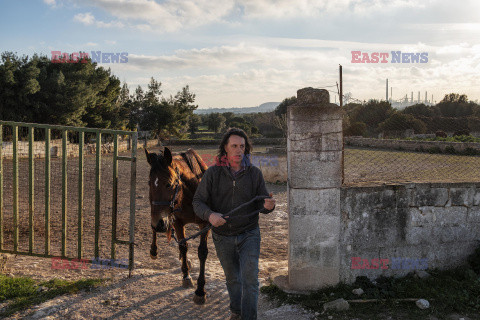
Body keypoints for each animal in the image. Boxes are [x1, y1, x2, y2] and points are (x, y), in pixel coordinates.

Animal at [146, 146, 210, 304]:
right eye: (150, 183)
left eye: (169, 184)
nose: (160, 224)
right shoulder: (177, 222)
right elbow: (183, 246)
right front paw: (186, 276)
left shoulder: (205, 224)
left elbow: (202, 252)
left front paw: (200, 290)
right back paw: (154, 250)